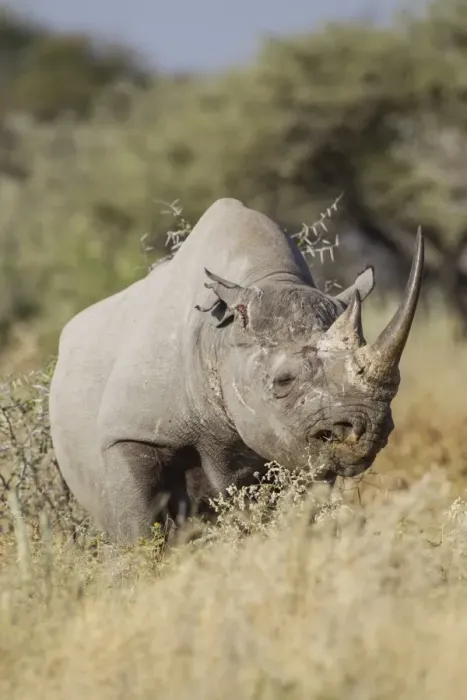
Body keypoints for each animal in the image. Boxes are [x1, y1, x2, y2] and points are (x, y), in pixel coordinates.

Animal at [49, 197, 424, 543]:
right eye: (283, 381)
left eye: (398, 382)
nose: (368, 430)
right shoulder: (131, 432)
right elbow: (139, 528)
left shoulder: (301, 446)